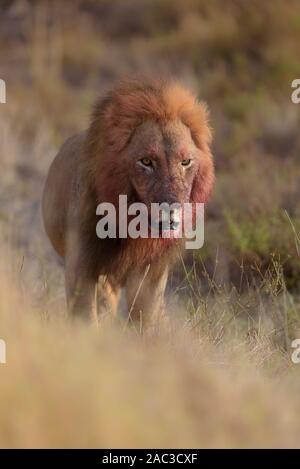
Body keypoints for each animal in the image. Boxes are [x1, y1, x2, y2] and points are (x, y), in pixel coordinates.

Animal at [42, 78, 216, 328]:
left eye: (185, 162)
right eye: (146, 161)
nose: (171, 212)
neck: (132, 223)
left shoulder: (150, 274)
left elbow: (145, 320)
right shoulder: (81, 263)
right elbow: (85, 318)